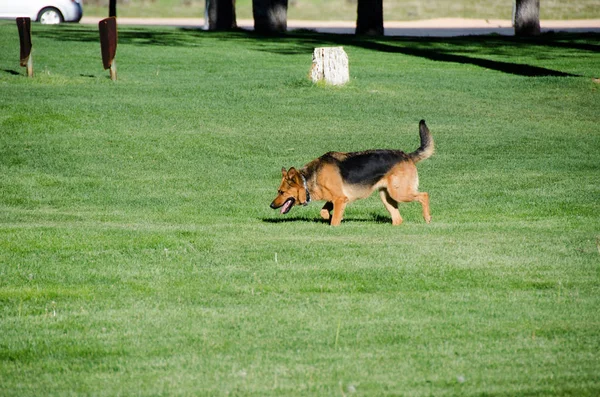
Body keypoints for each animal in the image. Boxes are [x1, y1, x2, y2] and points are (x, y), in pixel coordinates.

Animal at [270, 118, 434, 226]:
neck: (309, 178)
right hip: (387, 197)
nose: (271, 206)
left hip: (399, 193)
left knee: (424, 195)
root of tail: (406, 155)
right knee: (398, 219)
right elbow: (324, 212)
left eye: (282, 192)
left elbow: (334, 220)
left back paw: (427, 218)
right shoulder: (336, 199)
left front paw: (335, 223)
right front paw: (330, 217)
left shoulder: (340, 199)